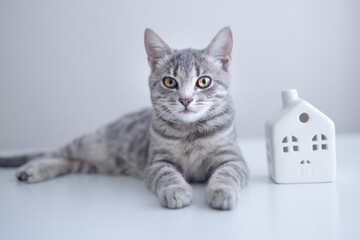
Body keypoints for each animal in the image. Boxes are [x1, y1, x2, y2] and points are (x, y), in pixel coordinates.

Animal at [0, 27, 248, 209]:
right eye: (170, 82)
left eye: (203, 81)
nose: (185, 100)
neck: (190, 133)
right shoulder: (156, 161)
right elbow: (167, 174)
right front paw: (175, 189)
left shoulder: (233, 157)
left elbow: (227, 173)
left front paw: (222, 191)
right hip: (89, 141)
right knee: (54, 152)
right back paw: (30, 168)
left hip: (93, 163)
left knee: (70, 162)